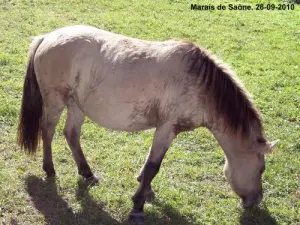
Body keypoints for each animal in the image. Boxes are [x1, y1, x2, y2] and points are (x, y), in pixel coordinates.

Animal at [17, 25, 278, 224]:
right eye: (261, 169)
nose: (255, 201)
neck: (201, 85)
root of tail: (48, 37)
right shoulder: (167, 128)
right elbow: (154, 166)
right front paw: (138, 205)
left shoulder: (164, 129)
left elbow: (148, 165)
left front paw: (145, 189)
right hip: (56, 101)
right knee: (47, 131)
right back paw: (50, 169)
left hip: (76, 105)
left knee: (71, 134)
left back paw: (87, 173)